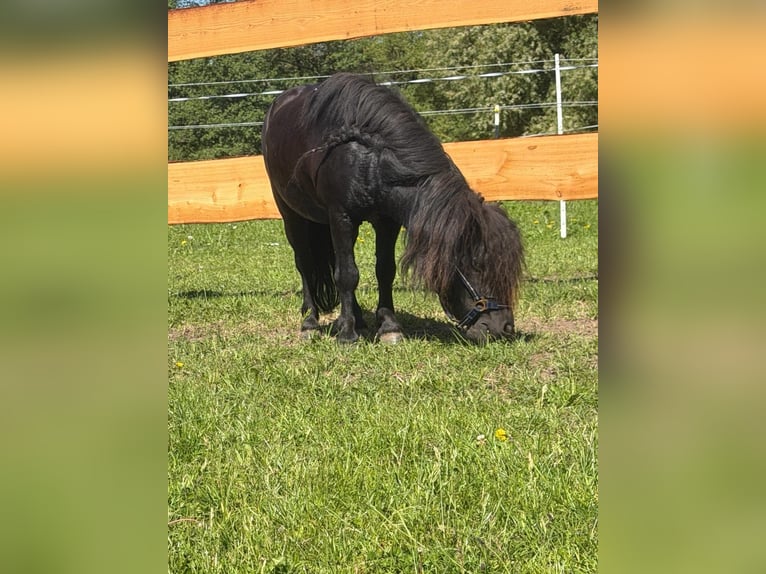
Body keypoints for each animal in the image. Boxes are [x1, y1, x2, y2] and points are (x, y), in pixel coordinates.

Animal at [261, 73, 524, 343]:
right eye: (477, 263)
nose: (504, 327)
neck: (372, 158)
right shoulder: (341, 217)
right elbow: (346, 274)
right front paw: (347, 335)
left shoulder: (386, 221)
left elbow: (384, 270)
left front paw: (389, 327)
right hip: (292, 215)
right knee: (305, 263)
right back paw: (311, 323)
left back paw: (356, 319)